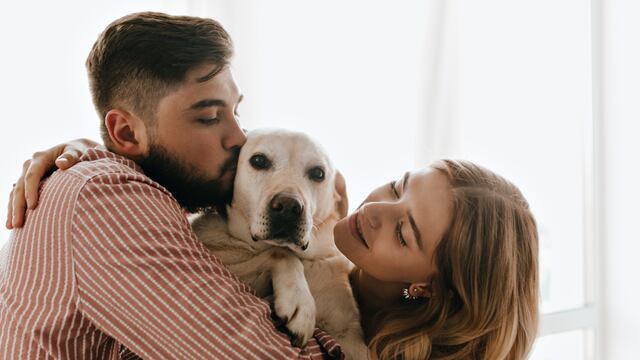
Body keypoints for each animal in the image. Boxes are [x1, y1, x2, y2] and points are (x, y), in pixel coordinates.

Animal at [190, 129, 368, 358]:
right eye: (258, 160)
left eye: (318, 173)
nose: (288, 207)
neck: (307, 259)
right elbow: (281, 253)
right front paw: (301, 303)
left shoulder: (349, 335)